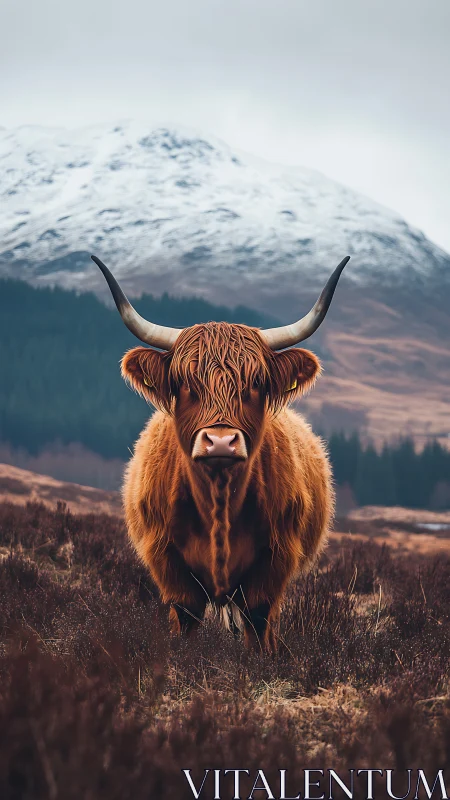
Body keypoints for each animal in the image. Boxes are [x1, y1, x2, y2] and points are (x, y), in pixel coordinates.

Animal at [92, 254, 350, 651]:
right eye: (185, 382)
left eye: (256, 382)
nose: (221, 441)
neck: (219, 498)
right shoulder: (166, 558)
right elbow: (185, 615)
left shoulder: (276, 559)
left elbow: (259, 619)